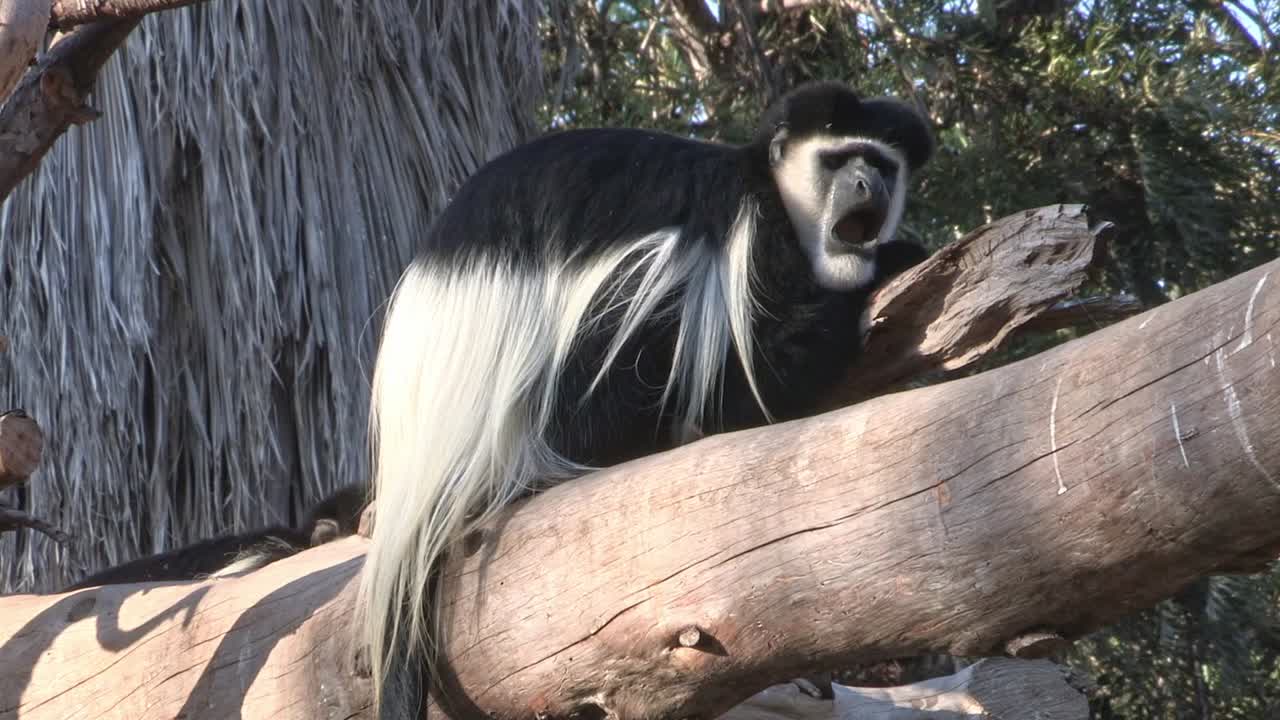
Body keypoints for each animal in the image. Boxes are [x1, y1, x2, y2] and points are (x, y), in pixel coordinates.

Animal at [361, 80, 935, 718]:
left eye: (881, 164)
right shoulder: (749, 232)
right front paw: (897, 257)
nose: (868, 185)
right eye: (837, 161)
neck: (766, 185)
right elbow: (755, 382)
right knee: (632, 301)